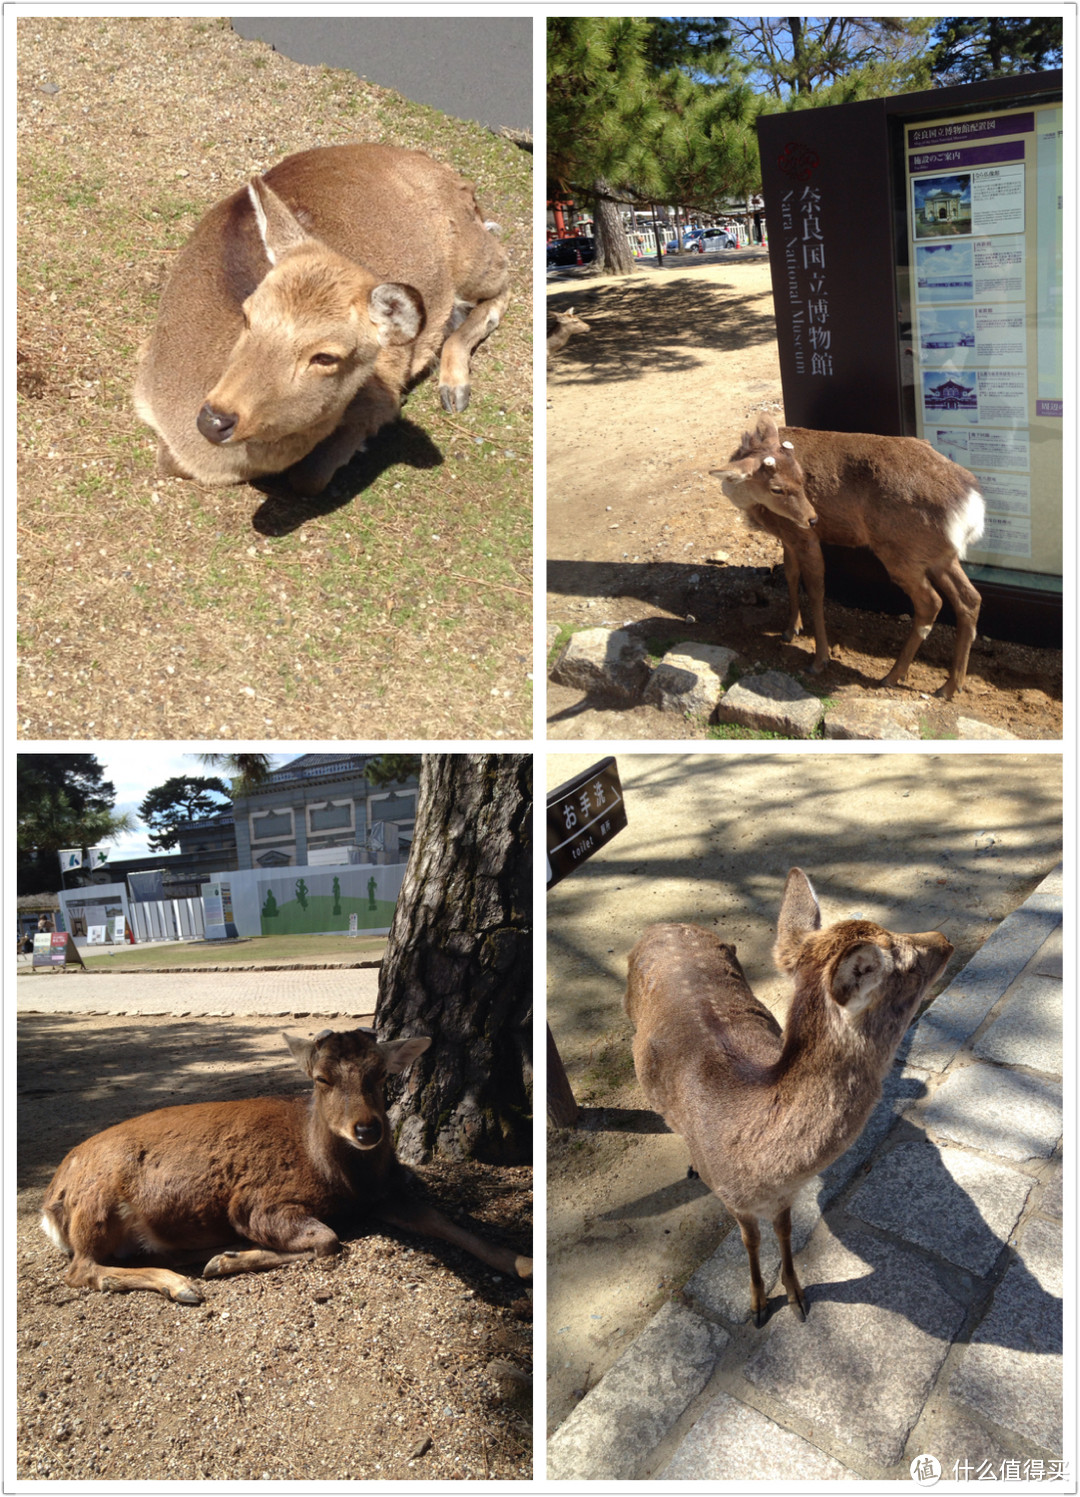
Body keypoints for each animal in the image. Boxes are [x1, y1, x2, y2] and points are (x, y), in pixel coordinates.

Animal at [41, 1023, 530, 1305]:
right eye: (321, 1078)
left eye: (380, 1074)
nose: (367, 1129)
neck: (340, 1182)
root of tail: (51, 1203)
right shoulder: (256, 1202)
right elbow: (329, 1241)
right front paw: (226, 1260)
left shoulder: (384, 1195)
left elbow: (448, 1222)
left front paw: (521, 1262)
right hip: (97, 1203)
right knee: (80, 1270)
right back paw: (183, 1284)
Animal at [132, 140, 506, 494]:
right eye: (247, 316)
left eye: (326, 357)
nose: (214, 420)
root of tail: (459, 181)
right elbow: (167, 459)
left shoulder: (381, 399)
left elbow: (309, 478)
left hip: (472, 256)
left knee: (505, 276)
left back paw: (454, 388)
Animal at [623, 868, 952, 1323]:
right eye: (907, 965)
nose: (944, 939)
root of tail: (661, 925)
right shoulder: (731, 1199)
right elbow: (751, 1241)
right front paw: (758, 1304)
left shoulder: (785, 1196)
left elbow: (784, 1231)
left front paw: (795, 1294)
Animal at [713, 416, 982, 700]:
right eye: (777, 488)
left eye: (802, 478)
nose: (813, 518)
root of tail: (972, 504)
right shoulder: (787, 535)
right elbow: (790, 574)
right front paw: (790, 629)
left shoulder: (805, 536)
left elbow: (816, 589)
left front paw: (820, 659)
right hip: (940, 554)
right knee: (969, 598)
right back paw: (950, 685)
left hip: (899, 550)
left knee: (931, 602)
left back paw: (893, 675)